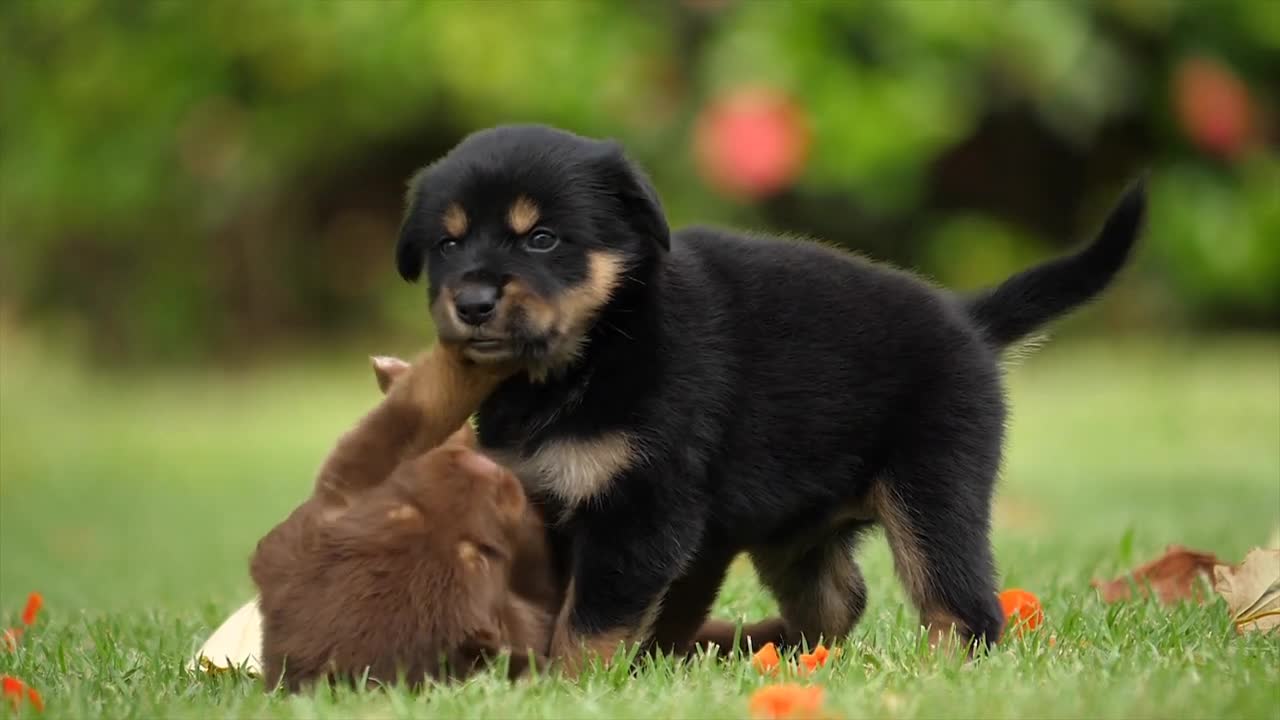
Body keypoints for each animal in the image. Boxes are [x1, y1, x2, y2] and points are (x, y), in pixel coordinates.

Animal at [394, 122, 1146, 666]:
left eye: (543, 239)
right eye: (447, 245)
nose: (474, 302)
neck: (596, 350)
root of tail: (969, 319)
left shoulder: (642, 512)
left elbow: (590, 622)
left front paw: (567, 684)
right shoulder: (547, 503)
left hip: (934, 492)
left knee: (963, 609)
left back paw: (936, 671)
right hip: (796, 529)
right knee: (842, 598)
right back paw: (769, 647)